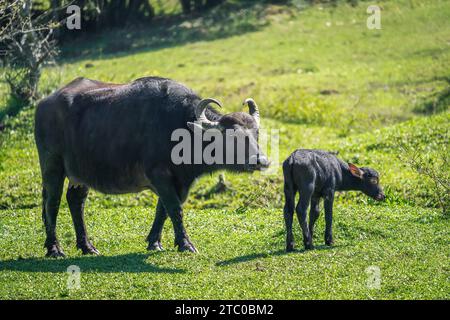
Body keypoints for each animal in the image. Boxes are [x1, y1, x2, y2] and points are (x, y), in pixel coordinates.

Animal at [36, 76, 268, 256]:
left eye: (255, 133)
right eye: (233, 137)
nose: (261, 161)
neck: (182, 129)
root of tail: (44, 103)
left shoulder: (179, 181)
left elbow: (163, 209)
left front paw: (154, 242)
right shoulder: (160, 175)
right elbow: (175, 208)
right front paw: (185, 244)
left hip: (81, 174)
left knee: (76, 201)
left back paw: (87, 247)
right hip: (52, 167)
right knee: (52, 203)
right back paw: (54, 249)